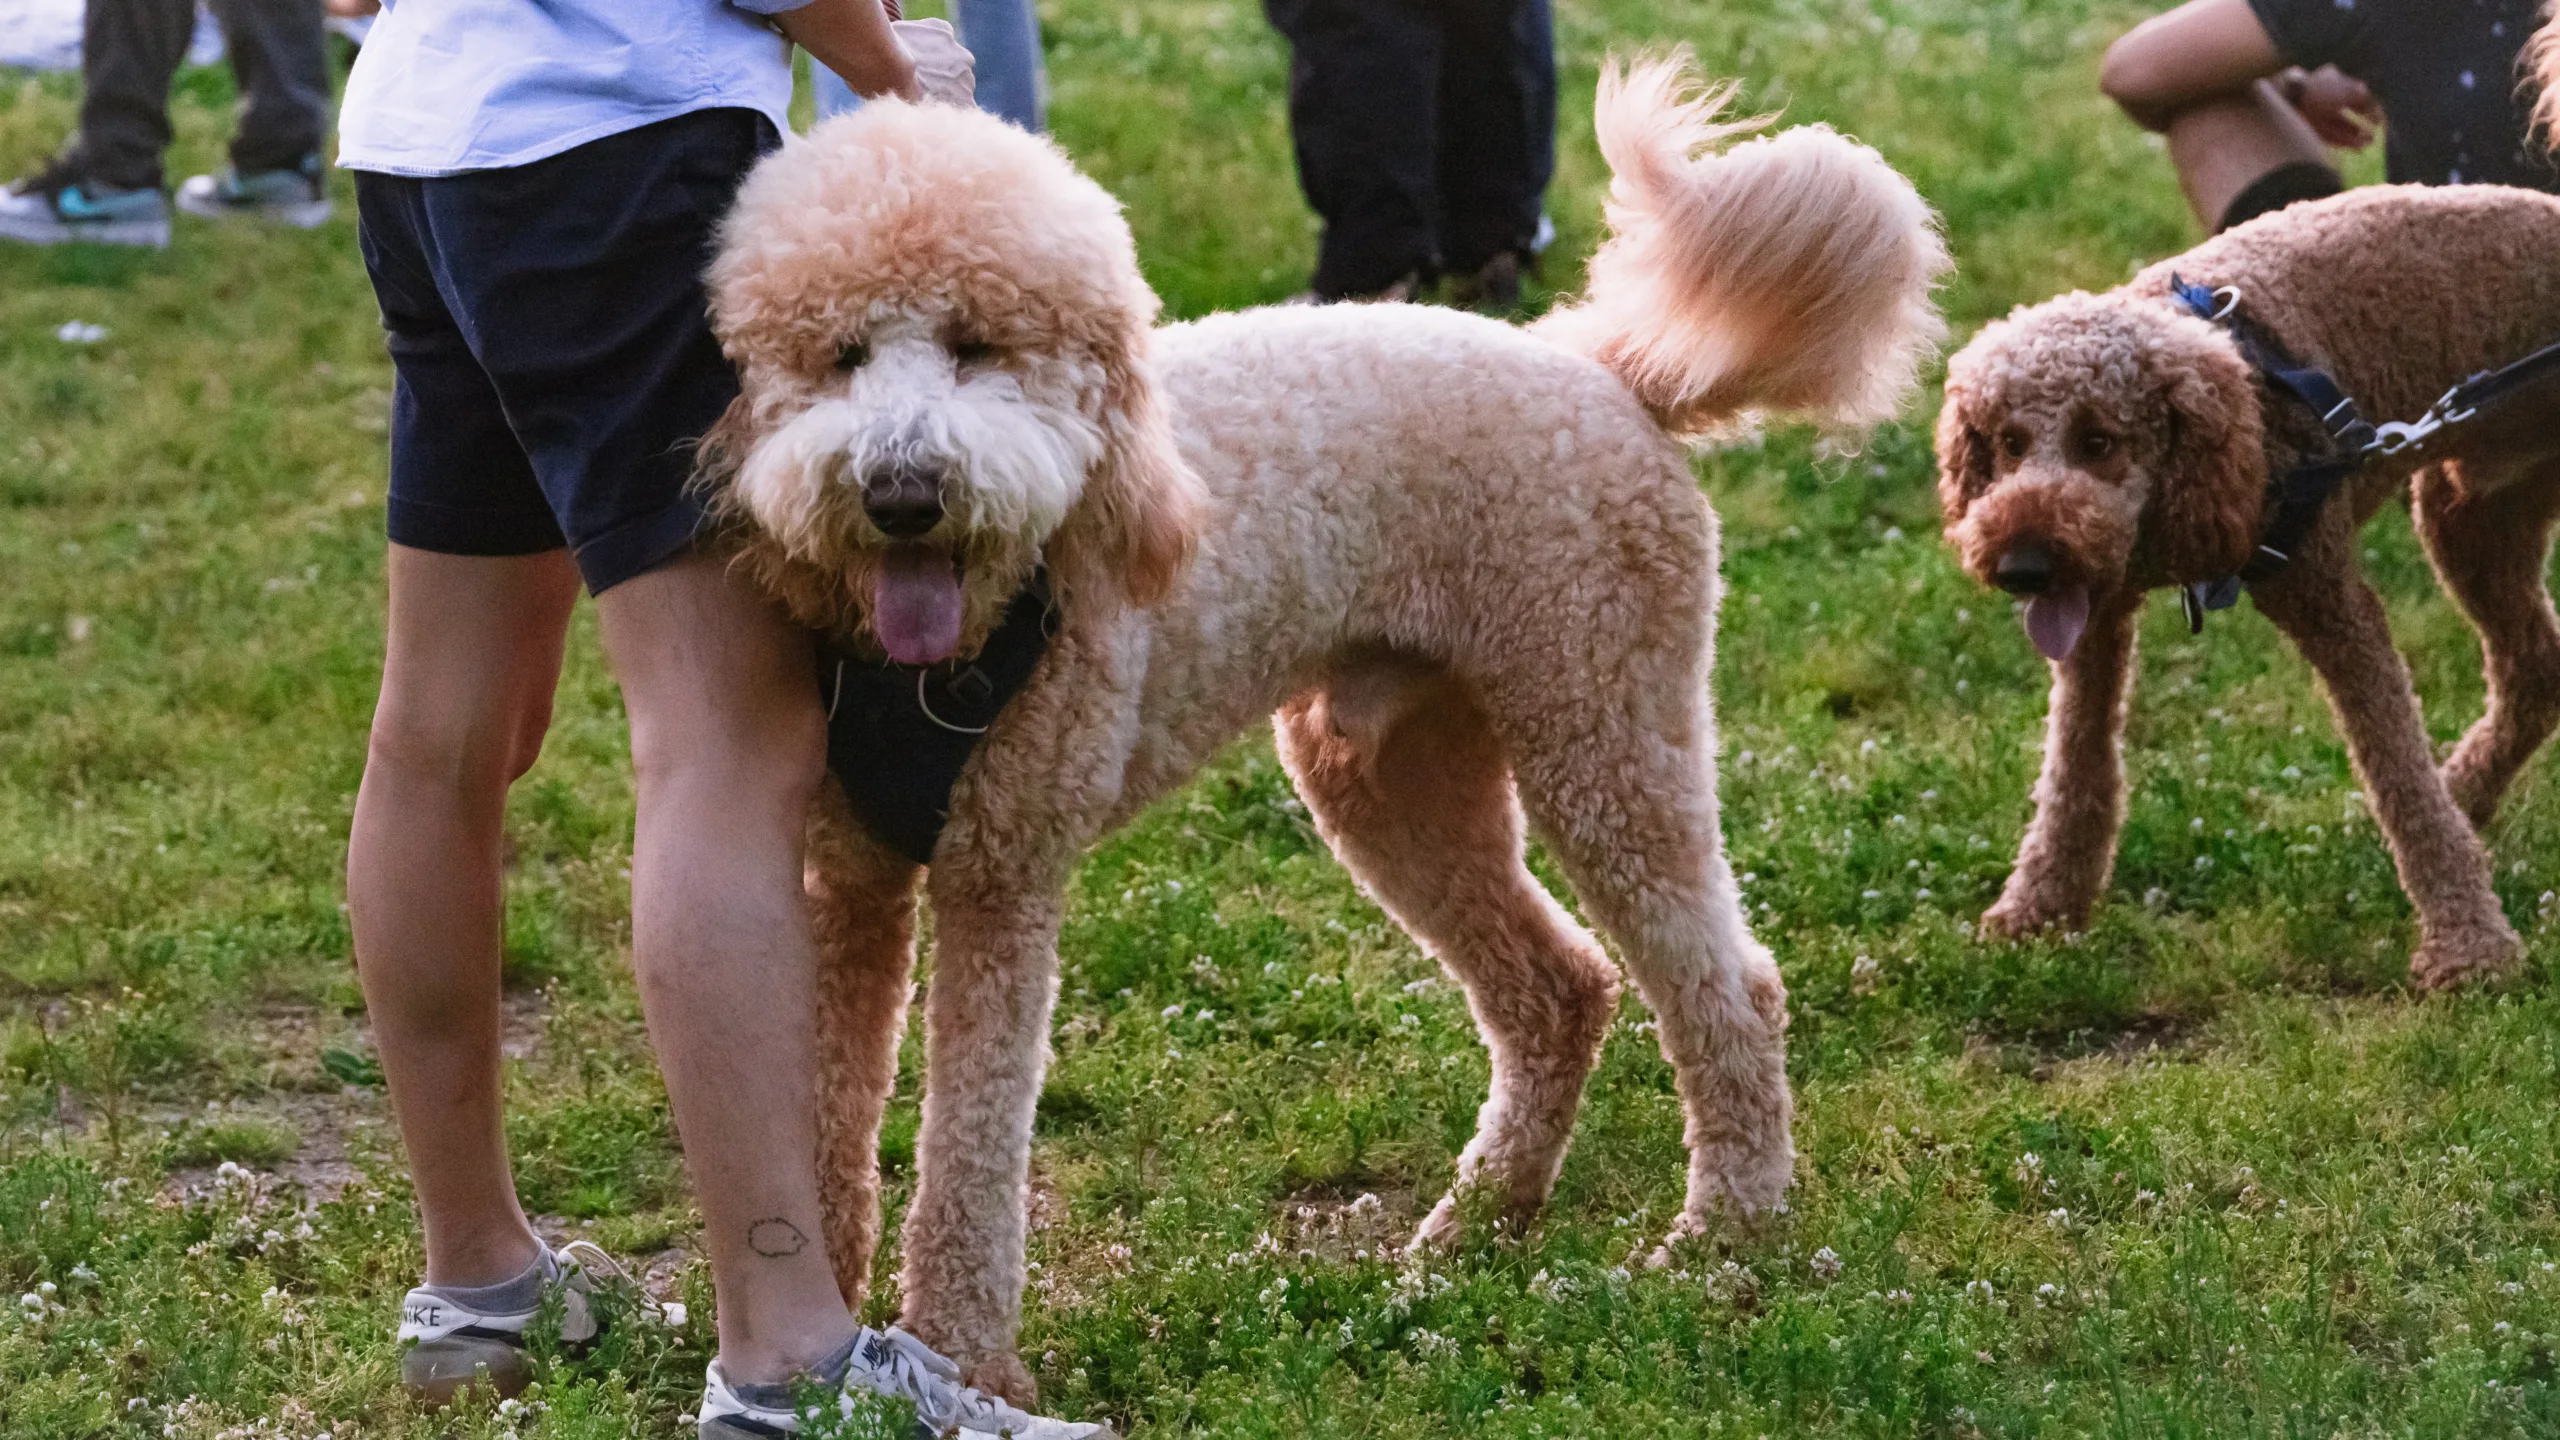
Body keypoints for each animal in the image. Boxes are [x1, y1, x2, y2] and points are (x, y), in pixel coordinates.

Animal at [696, 61, 1935, 1393]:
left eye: (979, 347)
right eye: (838, 356)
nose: (902, 494)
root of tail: (1604, 372)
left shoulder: (1001, 878)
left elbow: (972, 1145)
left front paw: (964, 1360)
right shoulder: (848, 885)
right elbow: (824, 1111)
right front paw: (827, 1334)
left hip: (1605, 731)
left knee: (1725, 987)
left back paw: (1727, 1229)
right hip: (1389, 774)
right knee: (1559, 989)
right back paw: (1476, 1225)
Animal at [1935, 181, 2560, 983]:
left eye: (2098, 440)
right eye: (2007, 443)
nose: (2022, 566)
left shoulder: (2335, 605)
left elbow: (2400, 778)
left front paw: (2470, 948)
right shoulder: (2095, 611)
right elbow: (2075, 770)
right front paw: (2038, 908)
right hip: (2474, 517)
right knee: (2533, 670)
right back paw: (2467, 791)